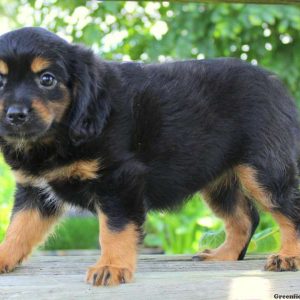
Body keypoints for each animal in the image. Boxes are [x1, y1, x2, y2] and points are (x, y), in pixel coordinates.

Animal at [0, 26, 300, 286]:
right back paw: (222, 255)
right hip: (218, 179)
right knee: (245, 219)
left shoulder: (119, 180)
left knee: (288, 210)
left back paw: (288, 256)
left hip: (264, 170)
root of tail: (278, 86)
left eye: (47, 79)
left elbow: (115, 228)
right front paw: (4, 257)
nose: (15, 116)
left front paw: (111, 266)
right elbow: (18, 230)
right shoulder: (35, 192)